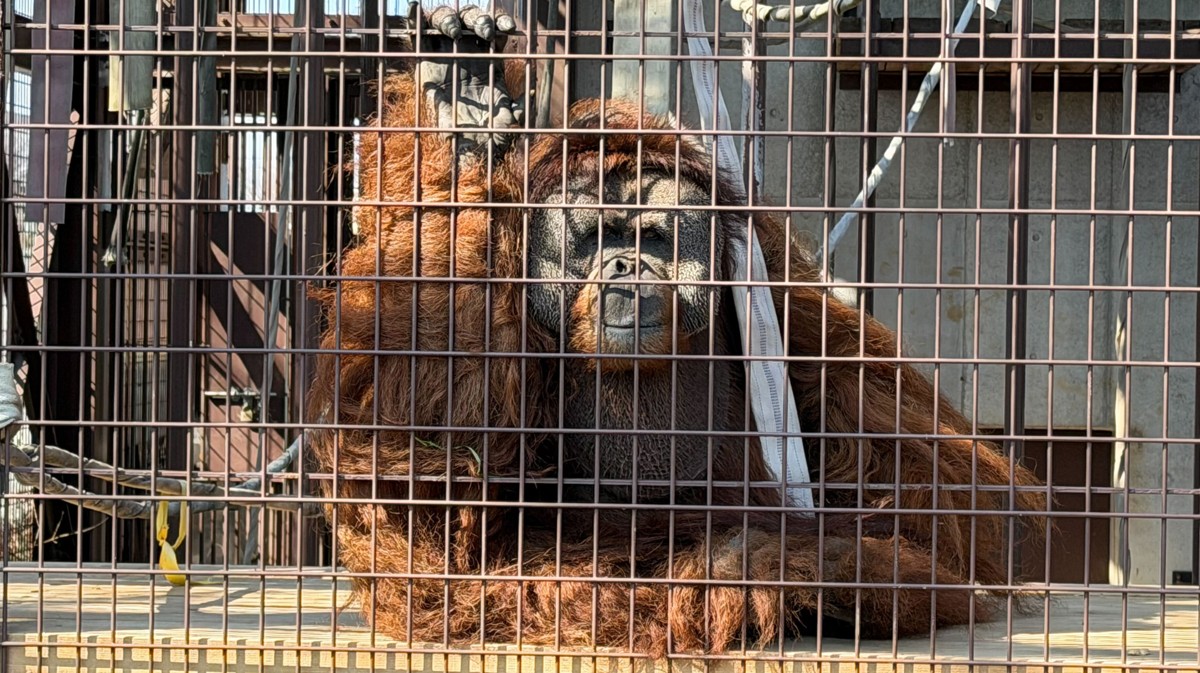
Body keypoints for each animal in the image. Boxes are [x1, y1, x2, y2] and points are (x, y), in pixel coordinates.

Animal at [305, 4, 1047, 658]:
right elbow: (422, 485)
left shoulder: (787, 300)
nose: (626, 264)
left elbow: (946, 487)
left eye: (655, 237)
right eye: (598, 237)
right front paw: (462, 122)